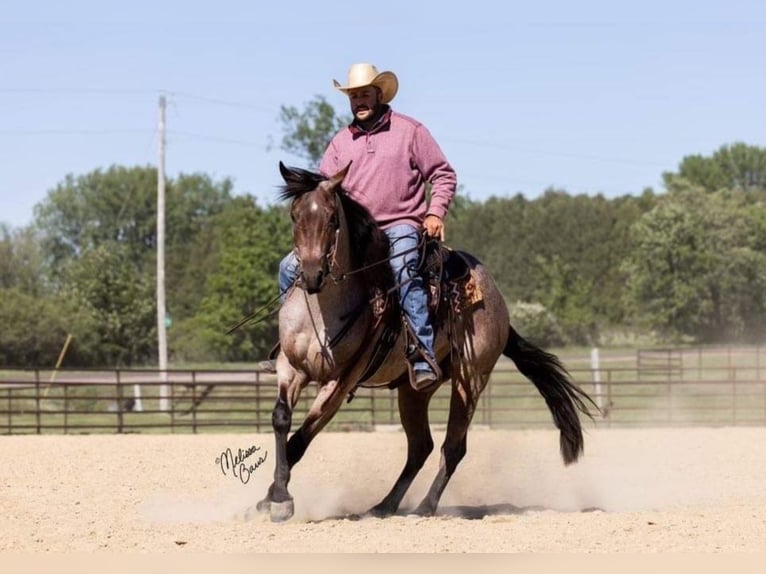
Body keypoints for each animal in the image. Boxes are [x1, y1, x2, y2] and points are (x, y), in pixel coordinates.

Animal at [254, 163, 600, 528]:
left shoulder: (339, 382)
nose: (311, 274)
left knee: (453, 447)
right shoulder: (290, 369)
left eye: (333, 218)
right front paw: (271, 496)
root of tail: (499, 305)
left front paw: (280, 501)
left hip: (470, 380)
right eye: (294, 215)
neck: (323, 311)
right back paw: (384, 506)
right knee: (421, 446)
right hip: (414, 390)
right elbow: (281, 420)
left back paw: (425, 506)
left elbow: (301, 439)